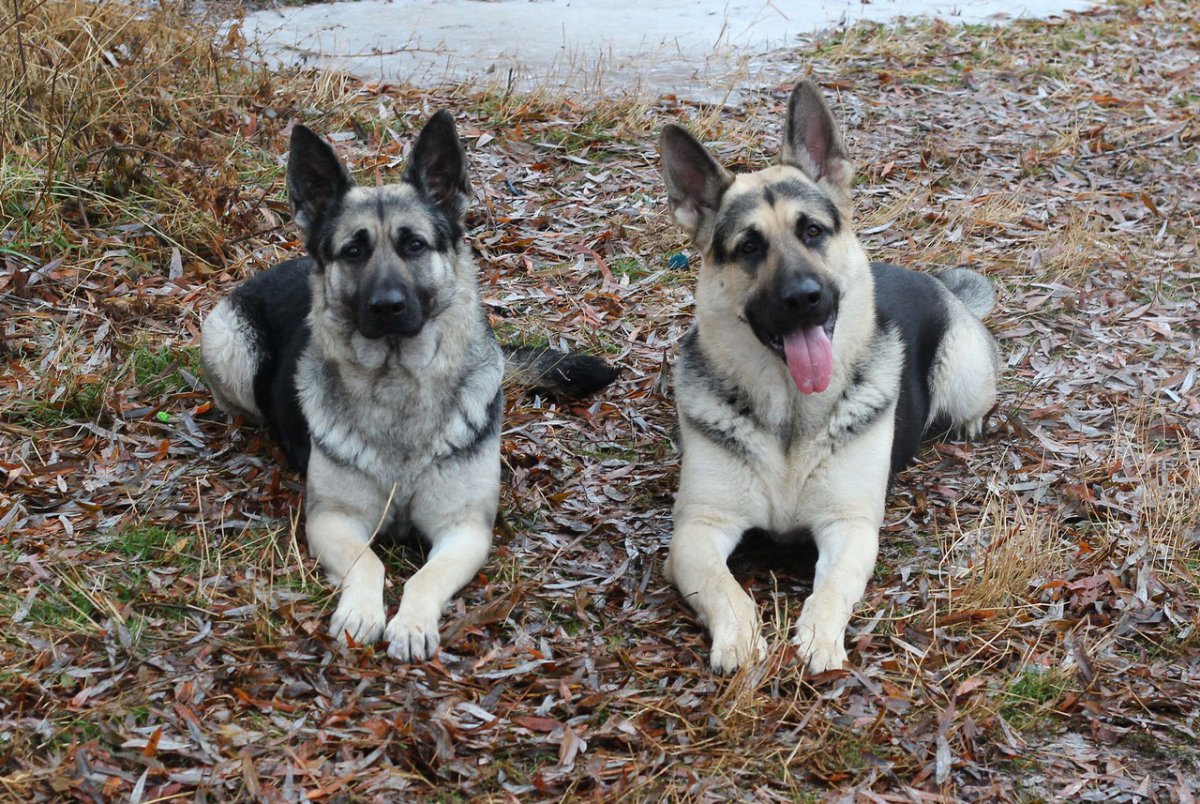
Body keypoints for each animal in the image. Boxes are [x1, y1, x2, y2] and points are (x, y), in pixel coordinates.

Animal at [201, 111, 614, 662]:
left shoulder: (464, 530)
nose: (387, 307)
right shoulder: (333, 521)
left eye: (413, 244)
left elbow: (424, 577)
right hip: (228, 341)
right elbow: (369, 563)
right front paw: (360, 613)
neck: (397, 385)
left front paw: (413, 623)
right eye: (353, 251)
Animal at [662, 80, 998, 672]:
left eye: (812, 231)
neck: (790, 412)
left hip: (965, 375)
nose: (803, 298)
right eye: (749, 247)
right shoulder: (698, 530)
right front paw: (740, 638)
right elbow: (725, 588)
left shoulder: (849, 528)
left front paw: (819, 638)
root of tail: (935, 281)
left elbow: (833, 587)